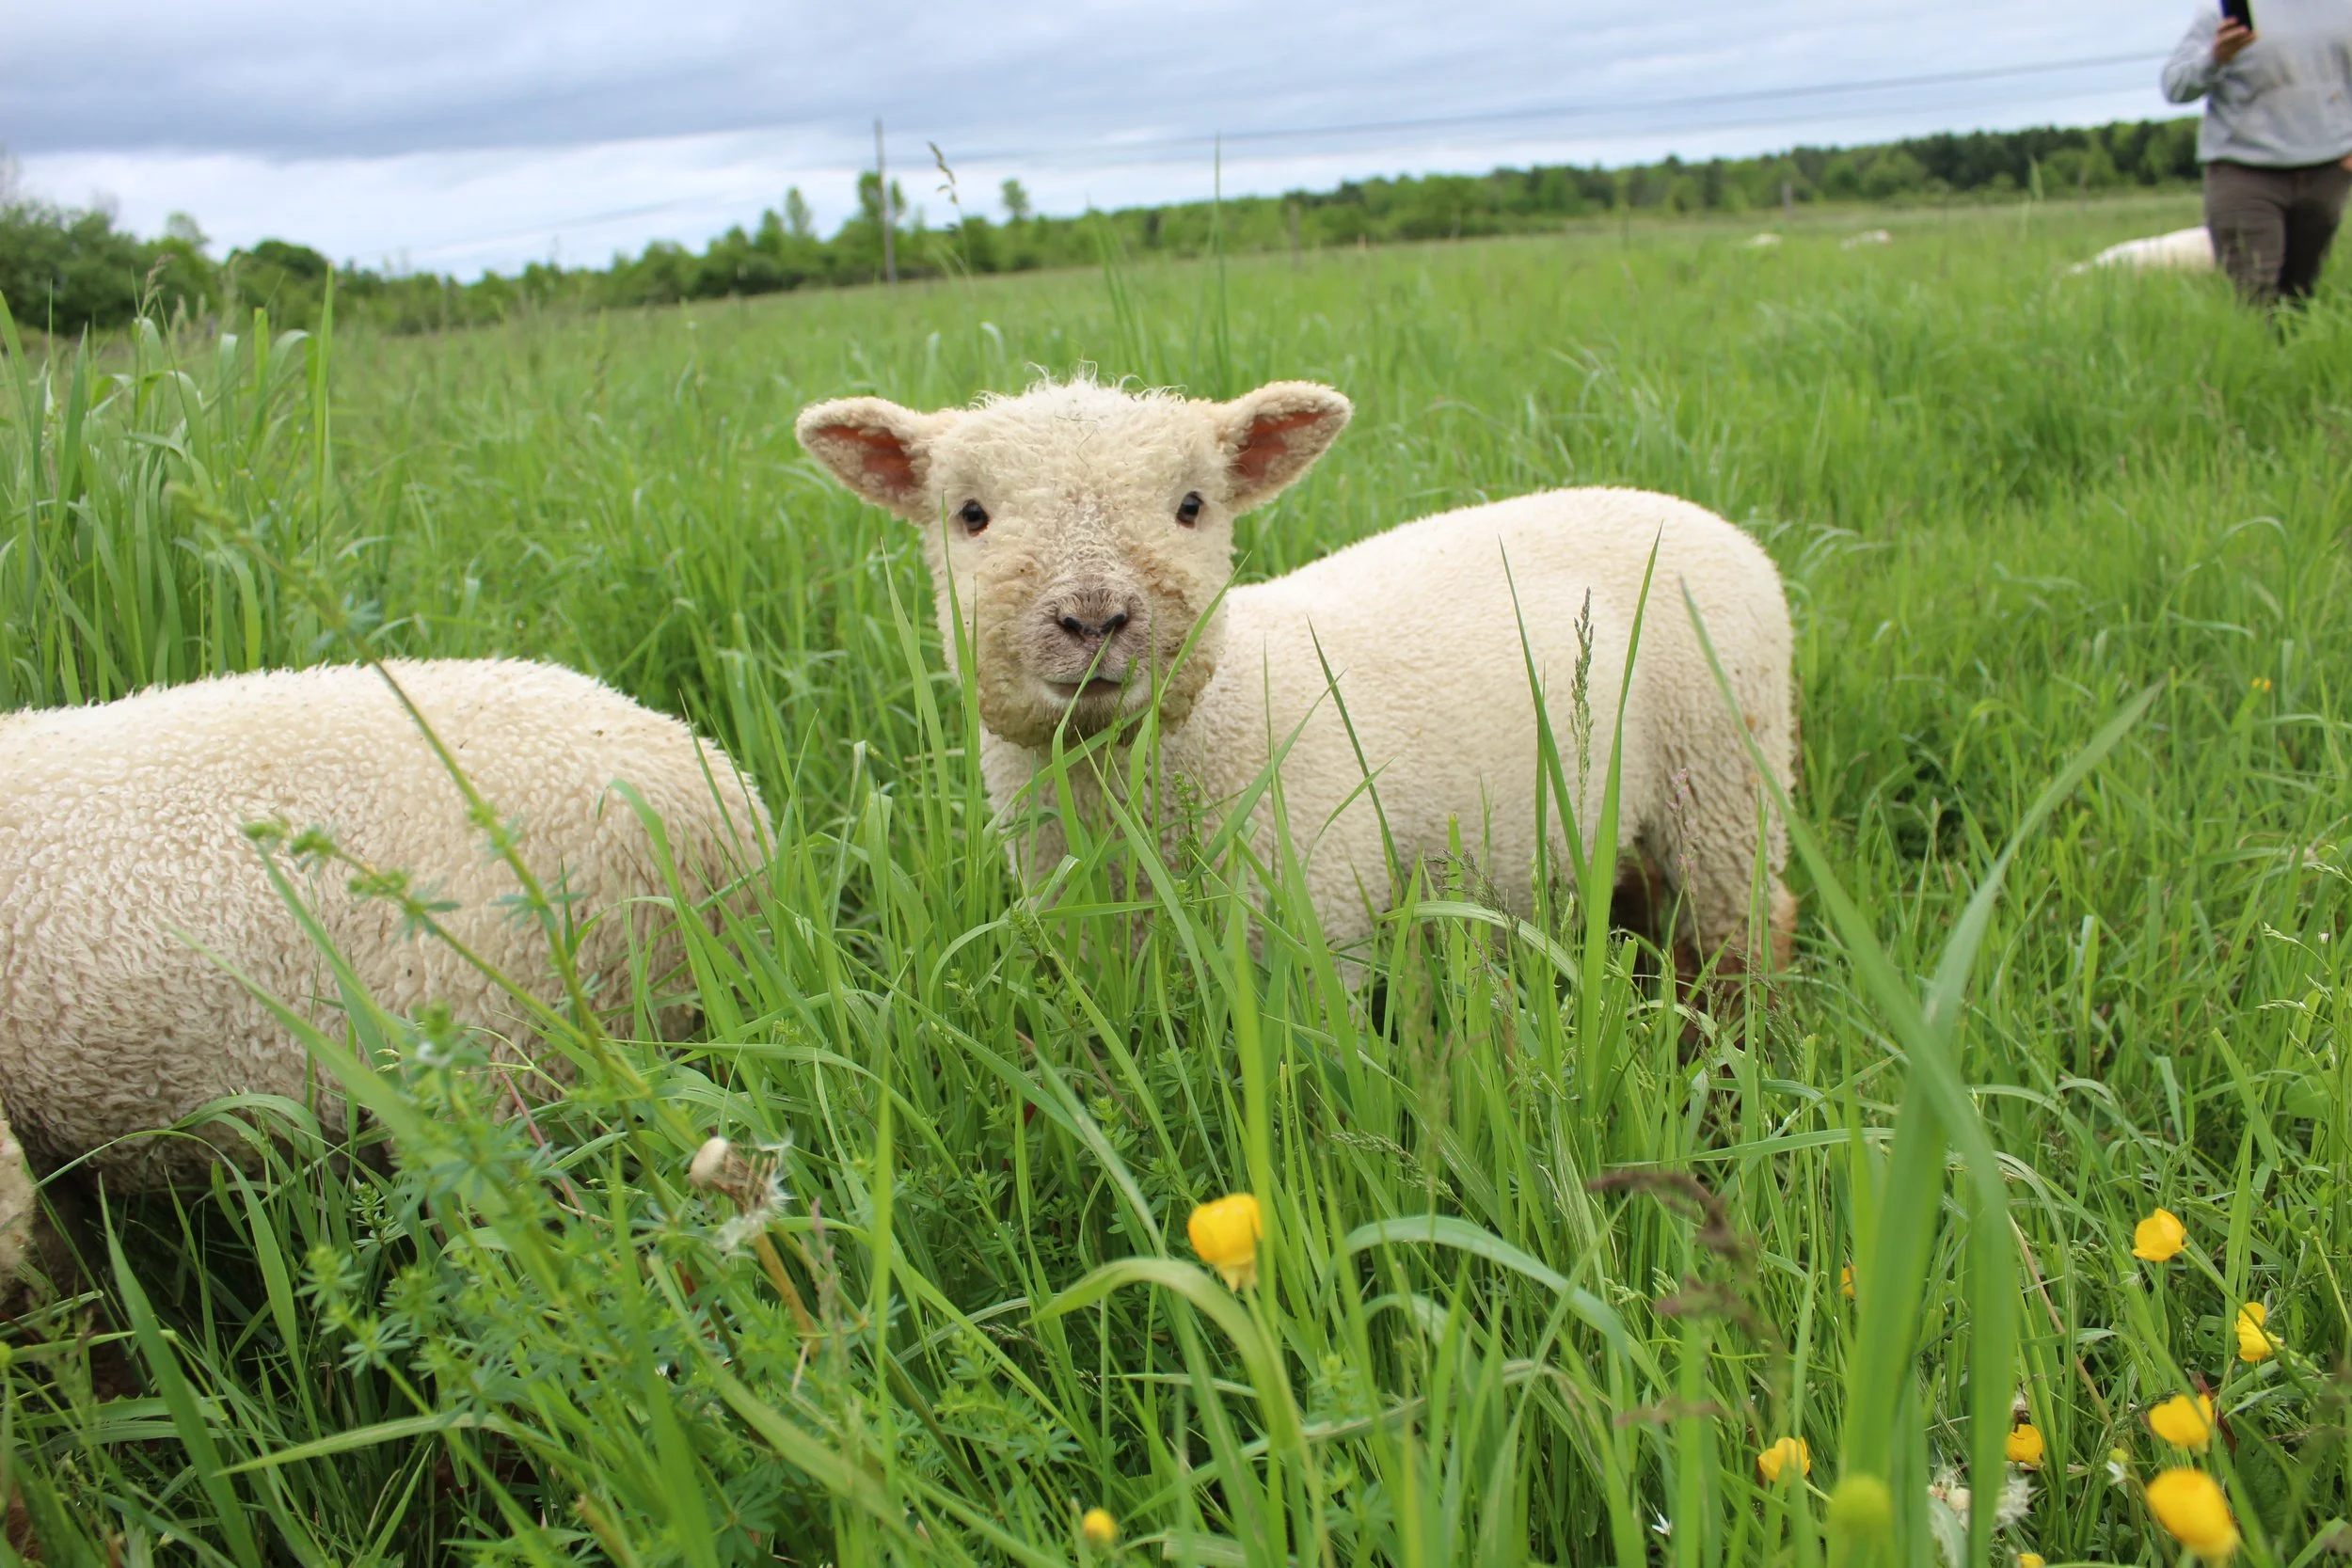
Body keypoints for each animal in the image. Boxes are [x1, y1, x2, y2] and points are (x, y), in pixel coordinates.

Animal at [796, 376, 1796, 980]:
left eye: (1192, 506)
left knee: (1750, 922)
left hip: (1727, 768)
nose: (1093, 618)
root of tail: (1694, 511)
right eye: (969, 514)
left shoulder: (1316, 926)